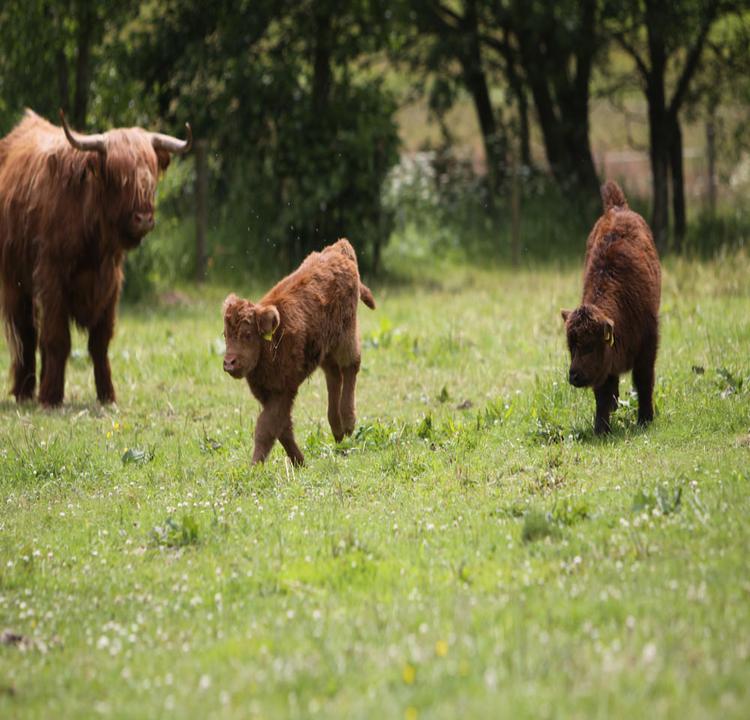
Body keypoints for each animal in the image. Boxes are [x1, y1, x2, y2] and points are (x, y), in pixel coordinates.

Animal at [0, 110, 191, 408]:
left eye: (150, 175)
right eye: (118, 177)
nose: (144, 218)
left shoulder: (111, 283)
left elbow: (99, 342)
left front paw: (107, 395)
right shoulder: (51, 278)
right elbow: (57, 338)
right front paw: (51, 396)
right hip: (15, 281)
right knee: (26, 333)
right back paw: (25, 390)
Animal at [222, 239, 376, 466]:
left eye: (247, 334)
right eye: (225, 334)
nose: (229, 362)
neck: (271, 343)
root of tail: (338, 249)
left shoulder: (284, 391)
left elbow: (266, 428)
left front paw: (254, 466)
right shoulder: (268, 394)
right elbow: (283, 429)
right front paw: (300, 462)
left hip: (345, 336)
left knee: (351, 366)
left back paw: (348, 422)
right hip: (325, 350)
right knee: (334, 377)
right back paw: (337, 429)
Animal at [564, 183, 664, 436]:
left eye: (590, 346)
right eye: (571, 346)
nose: (574, 375)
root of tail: (617, 208)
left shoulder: (648, 346)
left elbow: (644, 380)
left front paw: (645, 418)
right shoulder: (604, 370)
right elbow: (602, 392)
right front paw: (601, 428)